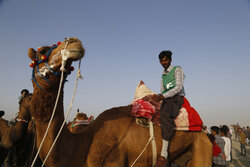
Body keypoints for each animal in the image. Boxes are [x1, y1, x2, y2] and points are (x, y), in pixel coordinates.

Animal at [26, 37, 211, 166]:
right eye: (43, 51)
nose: (73, 41)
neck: (83, 145)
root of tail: (203, 129)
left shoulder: (113, 161)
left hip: (202, 146)